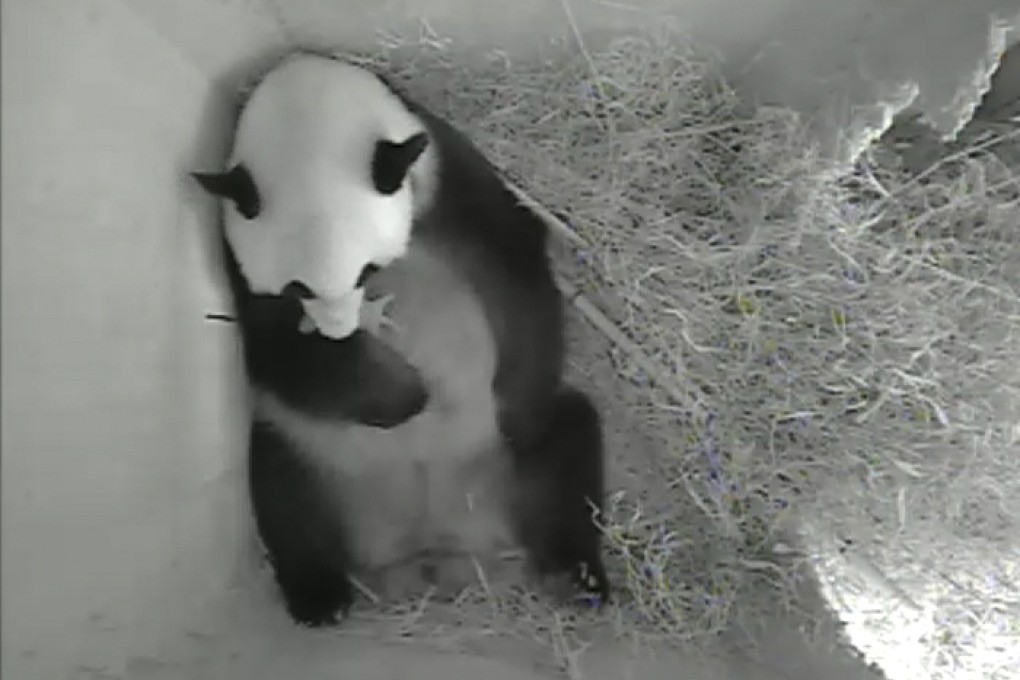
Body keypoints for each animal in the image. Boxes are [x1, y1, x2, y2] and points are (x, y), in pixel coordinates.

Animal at [191, 50, 610, 627]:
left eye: (368, 270)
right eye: (297, 286)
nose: (342, 330)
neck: (310, 110)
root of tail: (433, 547)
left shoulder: (447, 175)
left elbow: (514, 259)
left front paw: (514, 405)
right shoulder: (241, 263)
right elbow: (277, 347)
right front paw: (405, 395)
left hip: (516, 464)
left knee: (568, 445)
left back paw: (575, 576)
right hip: (308, 454)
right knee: (283, 493)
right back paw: (322, 597)